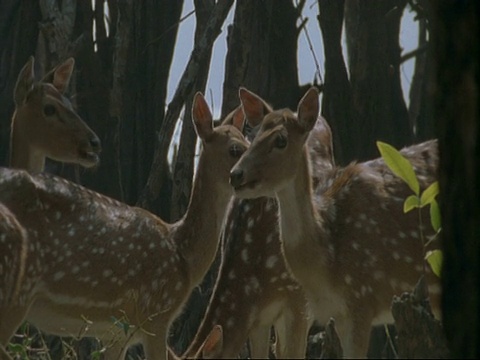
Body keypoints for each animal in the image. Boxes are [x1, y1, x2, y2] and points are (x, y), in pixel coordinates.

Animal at [0, 93, 248, 360]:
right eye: (235, 149)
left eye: (248, 140)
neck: (184, 256)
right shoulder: (156, 315)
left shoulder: (116, 333)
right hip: (16, 292)